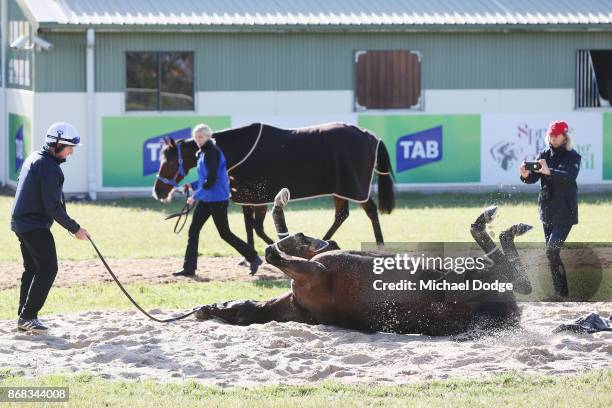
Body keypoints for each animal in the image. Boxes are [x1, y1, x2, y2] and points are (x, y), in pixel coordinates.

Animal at [151, 122, 394, 247]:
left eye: (169, 161)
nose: (158, 191)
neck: (238, 149)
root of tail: (370, 136)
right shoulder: (247, 196)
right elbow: (250, 227)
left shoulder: (259, 197)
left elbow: (257, 227)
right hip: (340, 189)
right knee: (341, 215)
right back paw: (323, 242)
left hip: (354, 187)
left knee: (370, 210)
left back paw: (379, 245)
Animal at [195, 190, 532, 334]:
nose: (207, 308)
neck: (296, 304)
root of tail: (509, 314)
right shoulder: (314, 271)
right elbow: (273, 252)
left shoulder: (317, 260)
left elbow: (308, 242)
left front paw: (286, 220)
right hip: (464, 279)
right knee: (516, 276)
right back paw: (495, 225)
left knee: (518, 278)